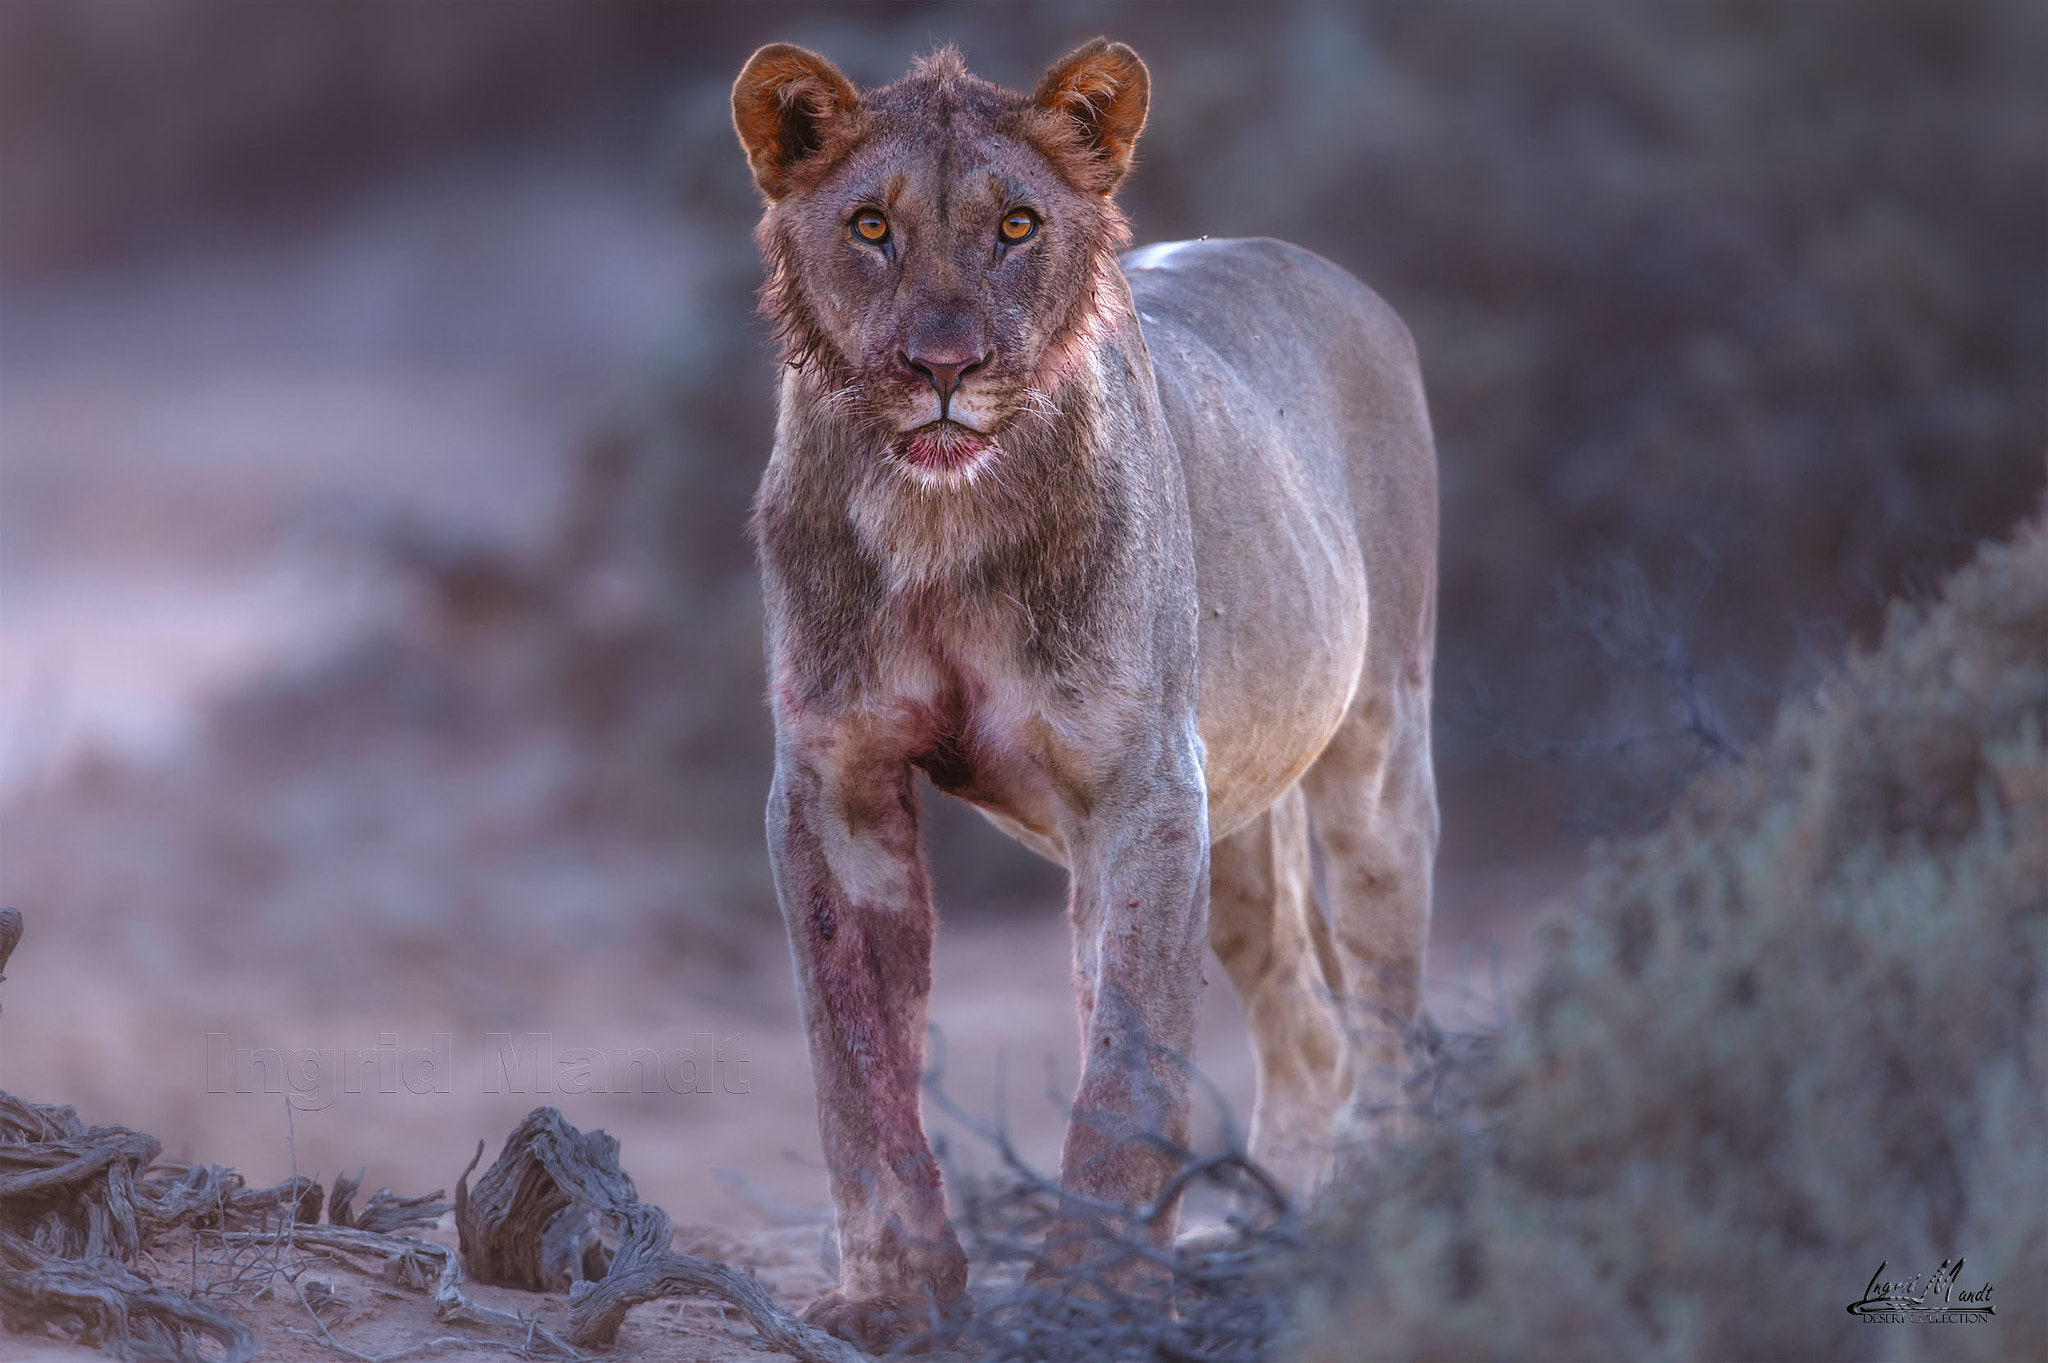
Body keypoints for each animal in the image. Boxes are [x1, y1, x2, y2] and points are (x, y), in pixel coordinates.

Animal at [737, 37, 1441, 1342]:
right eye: (869, 226)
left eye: (1016, 225)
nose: (943, 367)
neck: (937, 524)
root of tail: (1327, 273)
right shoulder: (832, 779)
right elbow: (853, 1061)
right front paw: (893, 1293)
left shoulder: (1142, 788)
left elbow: (1126, 1057)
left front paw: (1089, 1288)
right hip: (1233, 823)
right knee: (1306, 1032)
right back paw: (1254, 1226)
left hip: (1373, 749)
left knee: (1382, 1010)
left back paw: (1359, 1209)